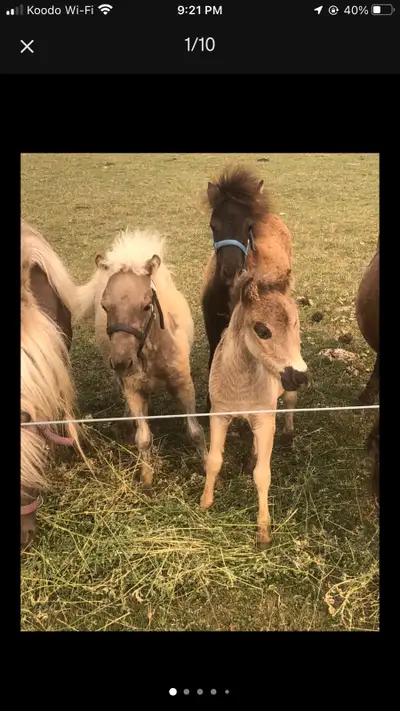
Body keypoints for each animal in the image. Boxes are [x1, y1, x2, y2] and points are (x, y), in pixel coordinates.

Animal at [75, 229, 204, 493]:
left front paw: (209, 466)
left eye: (146, 305)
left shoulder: (185, 386)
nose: (122, 362)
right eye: (105, 306)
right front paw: (146, 479)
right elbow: (143, 438)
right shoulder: (133, 389)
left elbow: (196, 432)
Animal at [200, 272, 309, 549]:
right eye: (262, 330)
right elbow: (214, 461)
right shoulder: (219, 415)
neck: (240, 383)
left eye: (294, 324)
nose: (301, 376)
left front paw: (263, 532)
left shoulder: (265, 418)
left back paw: (288, 434)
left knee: (290, 404)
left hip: (283, 395)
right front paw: (205, 503)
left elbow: (263, 475)